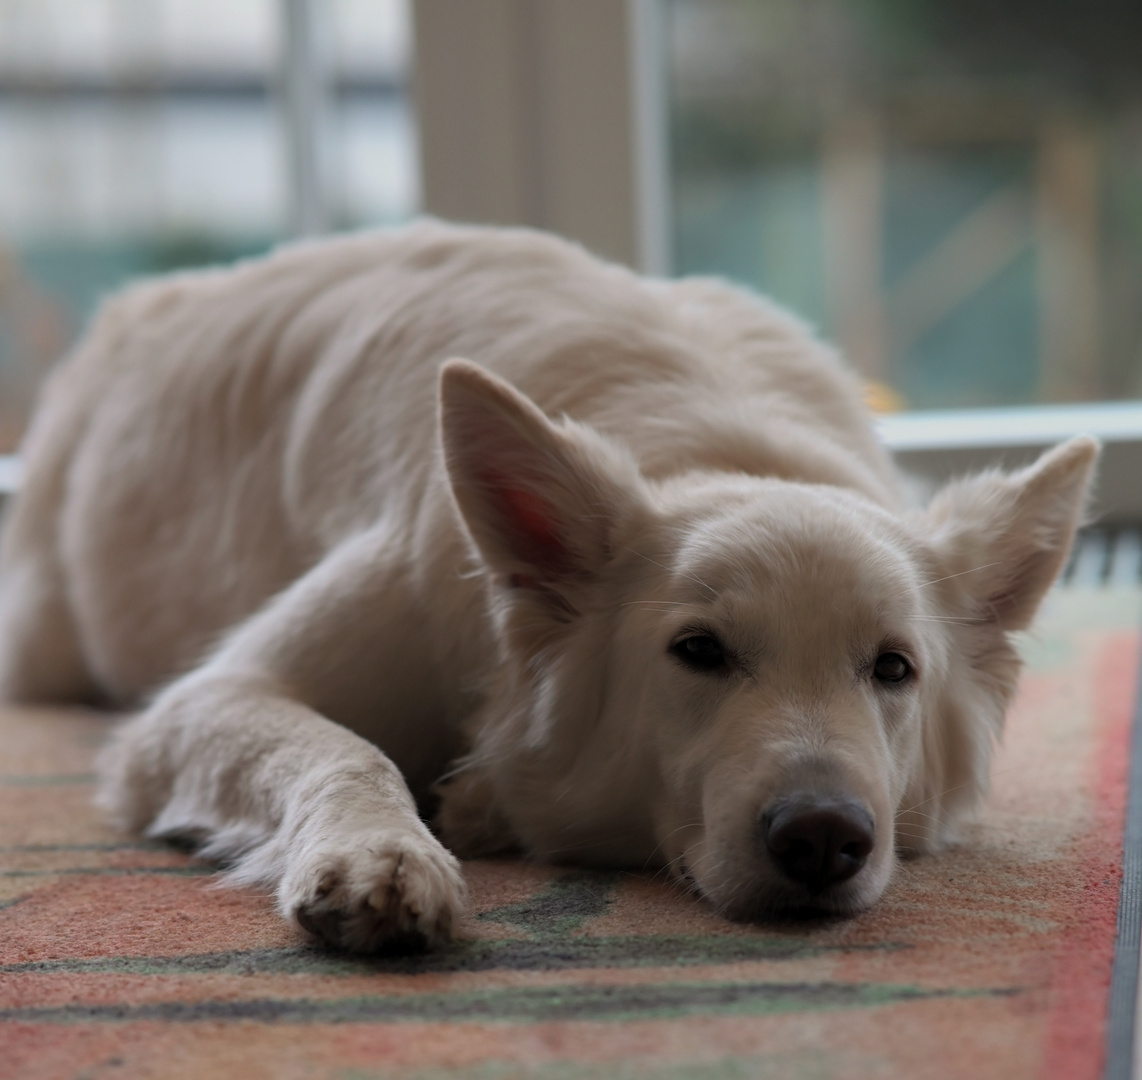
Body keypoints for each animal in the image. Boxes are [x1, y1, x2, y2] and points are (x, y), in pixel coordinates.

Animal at [0, 221, 1091, 949]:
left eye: (892, 669)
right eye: (698, 651)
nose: (823, 838)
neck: (718, 442)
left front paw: (470, 805)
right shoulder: (206, 699)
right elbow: (339, 747)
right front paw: (380, 852)